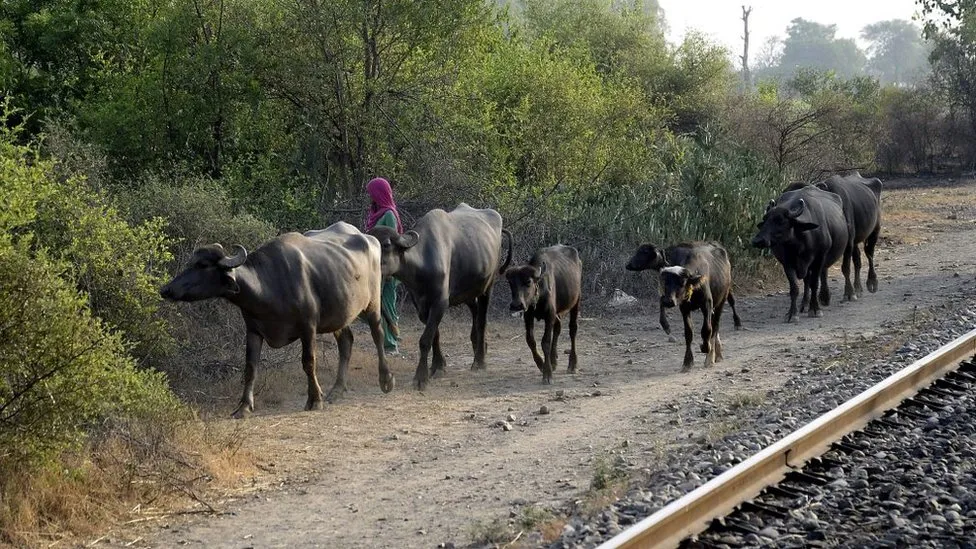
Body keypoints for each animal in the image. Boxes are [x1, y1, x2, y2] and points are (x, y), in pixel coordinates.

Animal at [160, 222, 392, 416]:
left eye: (202, 265)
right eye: (191, 262)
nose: (166, 290)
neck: (268, 285)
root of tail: (369, 239)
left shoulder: (308, 327)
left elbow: (309, 362)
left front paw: (315, 399)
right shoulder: (253, 330)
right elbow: (250, 367)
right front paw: (244, 407)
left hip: (373, 304)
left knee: (378, 335)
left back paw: (386, 379)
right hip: (340, 314)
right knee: (346, 341)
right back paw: (336, 390)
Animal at [368, 202, 520, 390]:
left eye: (386, 244)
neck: (422, 266)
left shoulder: (440, 302)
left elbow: (425, 339)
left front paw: (421, 377)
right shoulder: (421, 305)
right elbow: (435, 335)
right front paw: (438, 366)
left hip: (488, 286)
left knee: (482, 320)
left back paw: (479, 361)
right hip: (468, 291)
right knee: (475, 311)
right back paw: (480, 346)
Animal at [504, 246, 580, 384]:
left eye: (528, 282)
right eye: (511, 283)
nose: (516, 305)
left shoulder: (549, 315)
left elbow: (545, 342)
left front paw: (547, 373)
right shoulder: (528, 315)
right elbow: (530, 340)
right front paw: (541, 364)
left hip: (576, 301)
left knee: (573, 329)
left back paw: (572, 364)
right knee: (558, 327)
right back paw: (553, 360)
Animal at [752, 184, 852, 322]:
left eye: (780, 220)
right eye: (765, 219)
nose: (758, 240)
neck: (799, 245)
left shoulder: (819, 259)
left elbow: (814, 284)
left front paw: (815, 309)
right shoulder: (787, 263)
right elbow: (794, 288)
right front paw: (792, 314)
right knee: (806, 281)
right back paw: (804, 304)